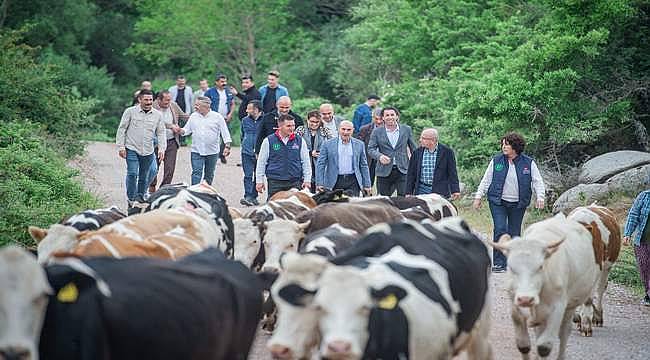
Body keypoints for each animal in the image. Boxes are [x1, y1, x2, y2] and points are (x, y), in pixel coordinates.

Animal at [488, 212, 600, 358]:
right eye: (511, 267)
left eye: (540, 266)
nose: (525, 299)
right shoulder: (515, 308)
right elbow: (523, 345)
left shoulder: (557, 308)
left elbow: (544, 347)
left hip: (570, 306)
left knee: (564, 332)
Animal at [564, 204, 620, 336]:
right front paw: (576, 318)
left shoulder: (594, 271)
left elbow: (588, 299)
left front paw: (586, 325)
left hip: (606, 268)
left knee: (600, 289)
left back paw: (597, 317)